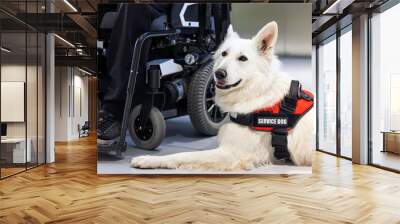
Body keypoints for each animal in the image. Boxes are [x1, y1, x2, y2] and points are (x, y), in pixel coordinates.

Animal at [130, 21, 314, 171]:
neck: (256, 91)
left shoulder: (232, 153)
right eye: (224, 54)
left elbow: (183, 155)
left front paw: (148, 160)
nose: (218, 73)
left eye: (243, 58)